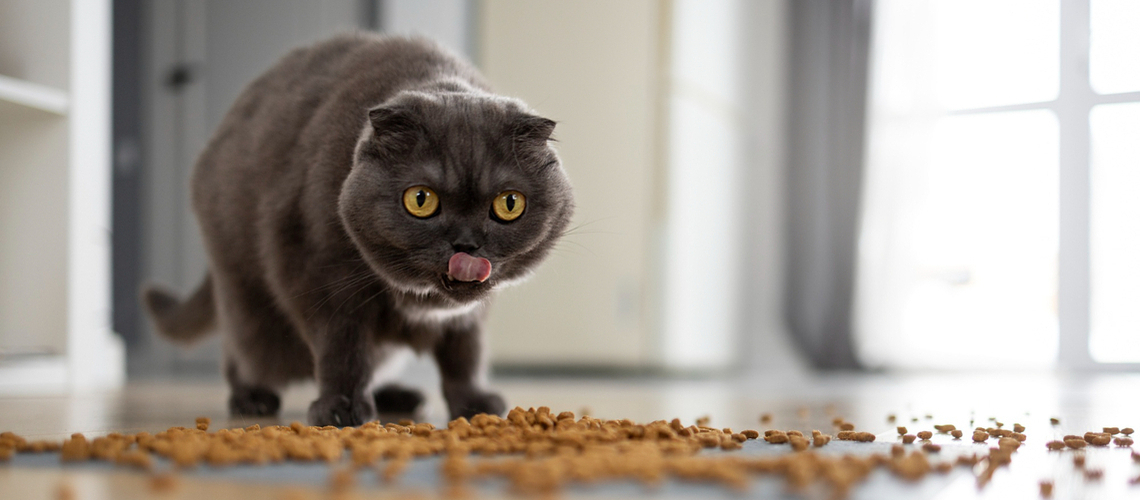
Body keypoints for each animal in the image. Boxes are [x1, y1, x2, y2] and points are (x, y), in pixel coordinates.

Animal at [140, 34, 570, 425]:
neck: (419, 298)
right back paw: (252, 398)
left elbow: (465, 352)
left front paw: (476, 404)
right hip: (249, 302)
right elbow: (343, 349)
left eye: (509, 204)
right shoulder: (320, 274)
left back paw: (400, 397)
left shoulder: (470, 314)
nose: (466, 244)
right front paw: (341, 409)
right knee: (241, 348)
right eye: (421, 200)